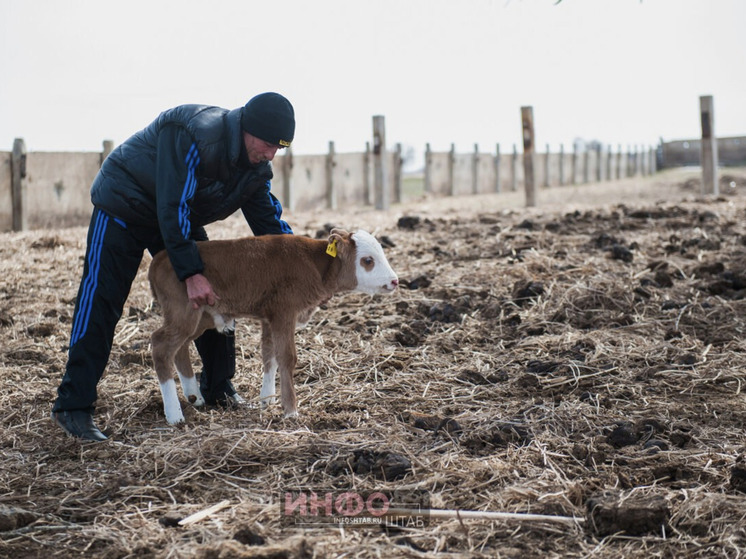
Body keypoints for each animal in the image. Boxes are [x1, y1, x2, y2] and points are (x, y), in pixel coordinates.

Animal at [147, 228, 398, 424]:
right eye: (368, 260)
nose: (395, 280)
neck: (315, 266)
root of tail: (160, 258)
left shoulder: (270, 318)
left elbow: (270, 356)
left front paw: (266, 399)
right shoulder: (284, 313)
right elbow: (287, 357)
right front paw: (291, 411)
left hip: (201, 317)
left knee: (180, 348)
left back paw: (194, 397)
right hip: (183, 313)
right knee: (160, 345)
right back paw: (174, 415)